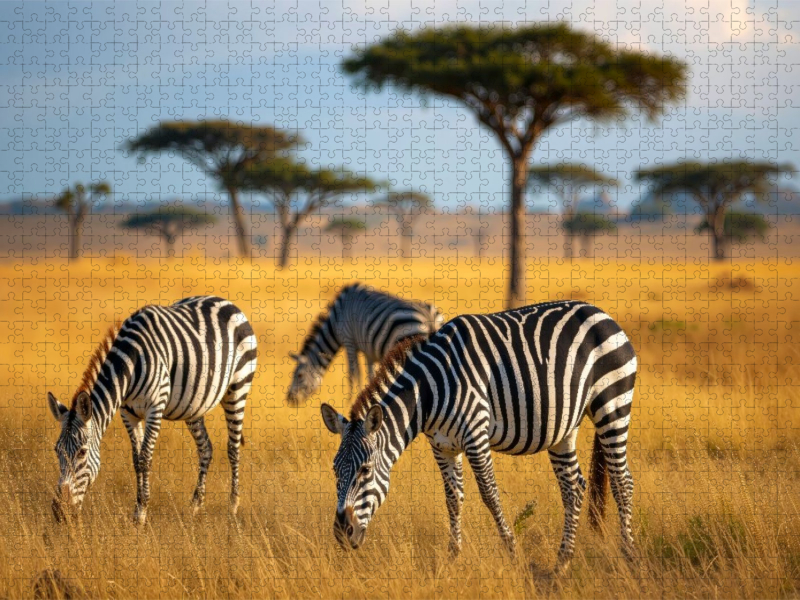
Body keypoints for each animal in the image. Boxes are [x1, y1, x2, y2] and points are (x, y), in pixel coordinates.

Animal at [47, 296, 258, 525]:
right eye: (56, 451)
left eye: (82, 452)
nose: (60, 512)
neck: (130, 365)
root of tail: (224, 300)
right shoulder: (128, 413)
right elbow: (135, 459)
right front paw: (138, 509)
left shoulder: (154, 409)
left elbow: (145, 458)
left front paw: (141, 513)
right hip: (194, 405)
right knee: (206, 448)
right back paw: (195, 506)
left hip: (238, 388)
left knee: (233, 448)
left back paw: (233, 506)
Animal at [286, 283, 444, 405]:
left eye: (299, 375)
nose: (289, 400)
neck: (336, 319)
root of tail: (429, 316)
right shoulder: (370, 351)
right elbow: (370, 375)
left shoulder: (349, 341)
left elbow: (353, 373)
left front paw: (350, 401)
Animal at [320, 300, 637, 573]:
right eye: (335, 471)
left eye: (365, 470)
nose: (342, 533)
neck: (428, 394)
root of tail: (601, 313)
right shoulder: (442, 446)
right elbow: (453, 498)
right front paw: (452, 557)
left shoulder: (476, 436)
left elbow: (489, 494)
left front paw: (513, 553)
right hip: (564, 429)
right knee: (574, 487)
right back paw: (562, 563)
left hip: (612, 405)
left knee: (622, 482)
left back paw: (628, 555)